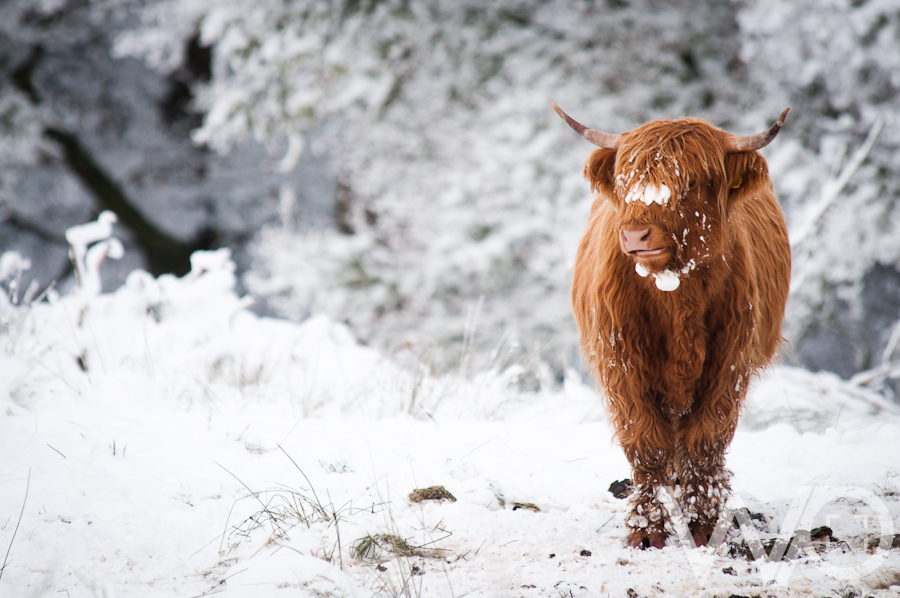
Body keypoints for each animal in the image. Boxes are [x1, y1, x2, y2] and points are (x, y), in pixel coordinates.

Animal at [553, 104, 791, 549]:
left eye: (692, 181)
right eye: (625, 180)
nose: (635, 235)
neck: (677, 300)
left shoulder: (729, 366)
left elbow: (705, 443)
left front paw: (703, 524)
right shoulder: (622, 365)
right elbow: (647, 445)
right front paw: (647, 530)